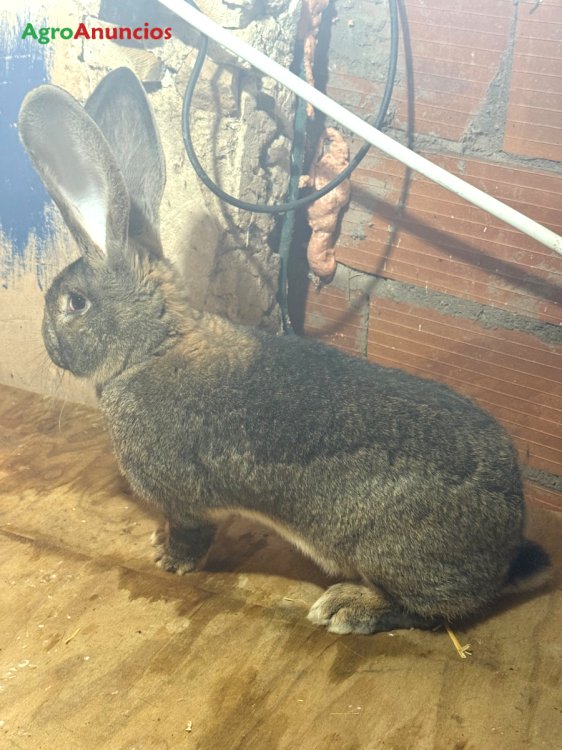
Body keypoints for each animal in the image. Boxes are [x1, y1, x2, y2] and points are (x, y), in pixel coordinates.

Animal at [18, 67, 550, 635]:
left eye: (74, 303)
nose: (47, 344)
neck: (153, 346)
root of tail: (507, 536)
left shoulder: (185, 499)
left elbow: (191, 533)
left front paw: (168, 558)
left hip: (389, 554)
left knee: (433, 610)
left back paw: (348, 607)